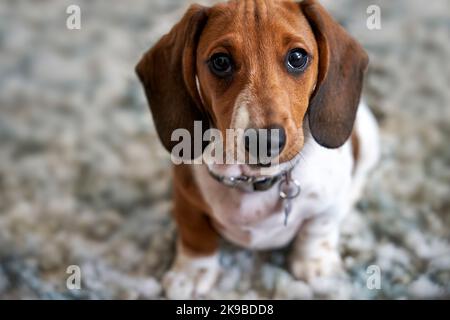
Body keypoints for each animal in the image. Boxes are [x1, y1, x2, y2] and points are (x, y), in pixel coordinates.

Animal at [135, 0, 378, 300]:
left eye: (297, 57)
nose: (267, 140)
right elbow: (194, 231)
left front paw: (315, 264)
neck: (255, 180)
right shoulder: (185, 194)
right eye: (221, 61)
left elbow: (318, 228)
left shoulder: (327, 204)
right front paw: (192, 272)